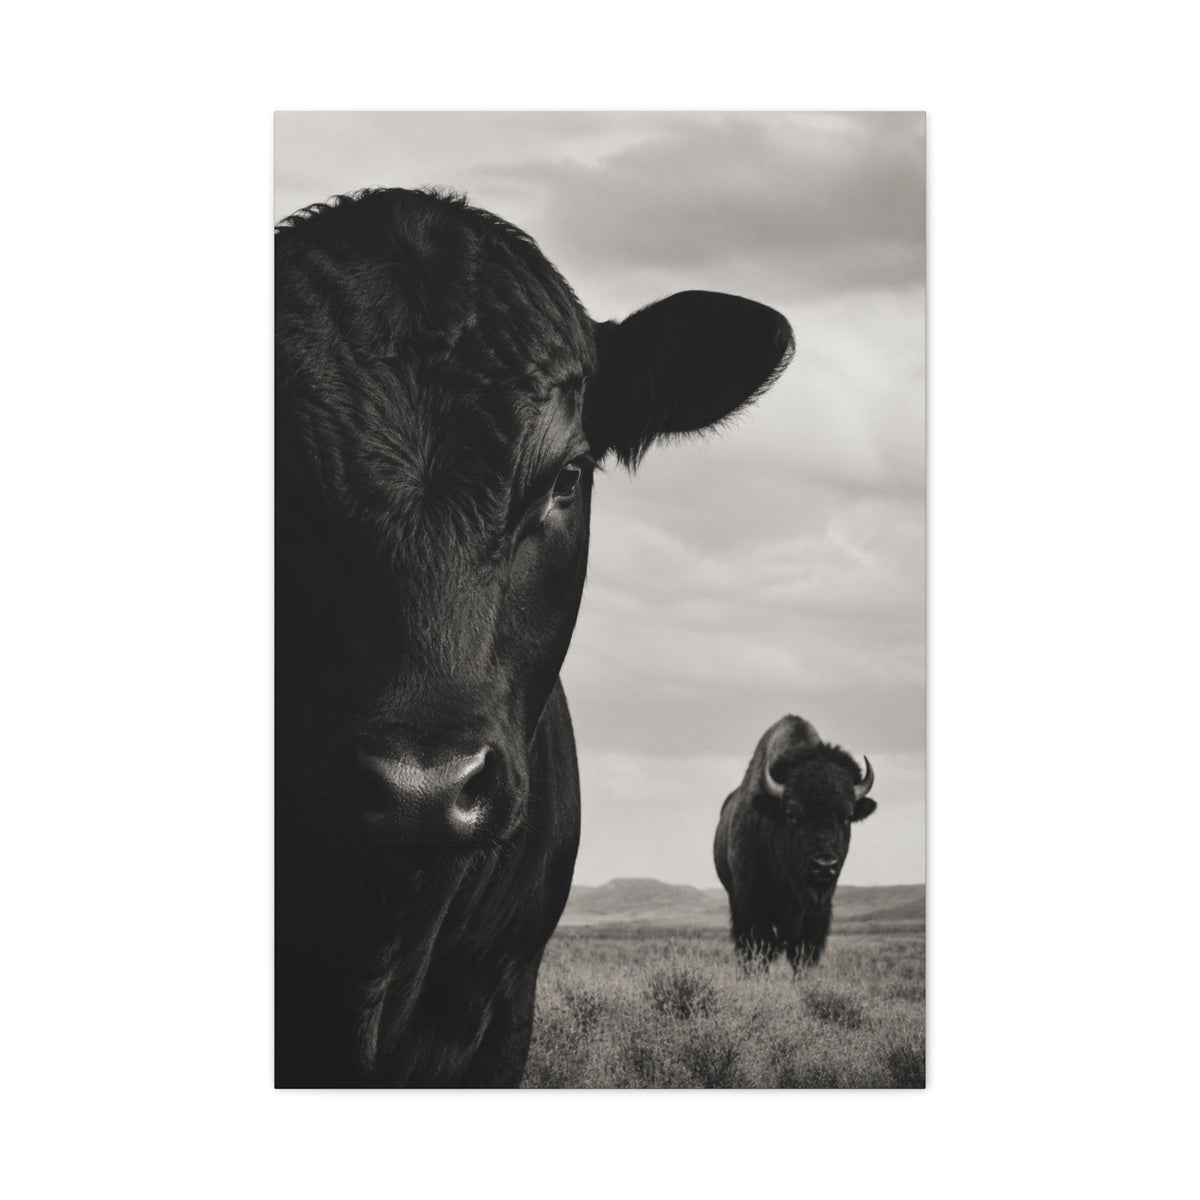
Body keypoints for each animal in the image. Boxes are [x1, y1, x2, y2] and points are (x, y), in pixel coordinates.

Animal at [714, 715, 877, 971]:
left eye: (847, 816)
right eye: (791, 813)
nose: (824, 865)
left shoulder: (818, 910)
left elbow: (803, 953)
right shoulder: (751, 903)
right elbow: (761, 948)